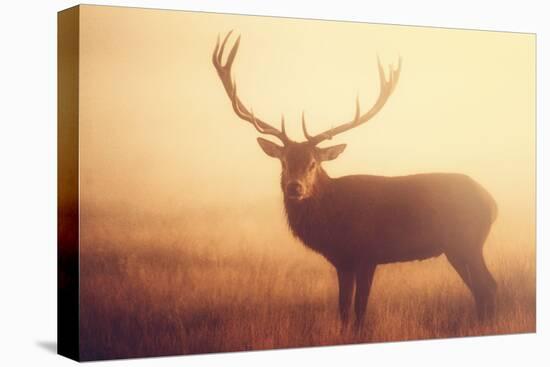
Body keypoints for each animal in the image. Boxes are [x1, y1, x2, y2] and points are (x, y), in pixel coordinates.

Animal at [213, 33, 498, 330]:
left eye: (314, 163)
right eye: (284, 162)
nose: (295, 187)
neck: (334, 223)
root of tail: (493, 204)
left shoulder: (368, 254)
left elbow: (360, 308)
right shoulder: (343, 261)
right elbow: (343, 308)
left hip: (466, 241)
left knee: (488, 286)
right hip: (458, 247)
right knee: (482, 288)